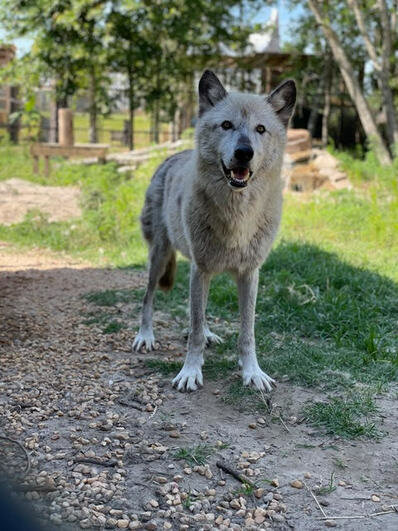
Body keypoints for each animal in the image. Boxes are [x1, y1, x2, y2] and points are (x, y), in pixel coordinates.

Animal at [133, 70, 296, 392]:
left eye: (260, 129)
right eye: (226, 125)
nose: (244, 152)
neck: (237, 214)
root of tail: (173, 156)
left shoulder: (248, 274)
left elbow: (247, 332)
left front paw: (252, 372)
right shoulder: (201, 268)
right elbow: (194, 329)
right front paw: (190, 371)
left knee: (198, 310)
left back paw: (209, 334)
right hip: (160, 257)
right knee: (149, 297)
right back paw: (146, 336)